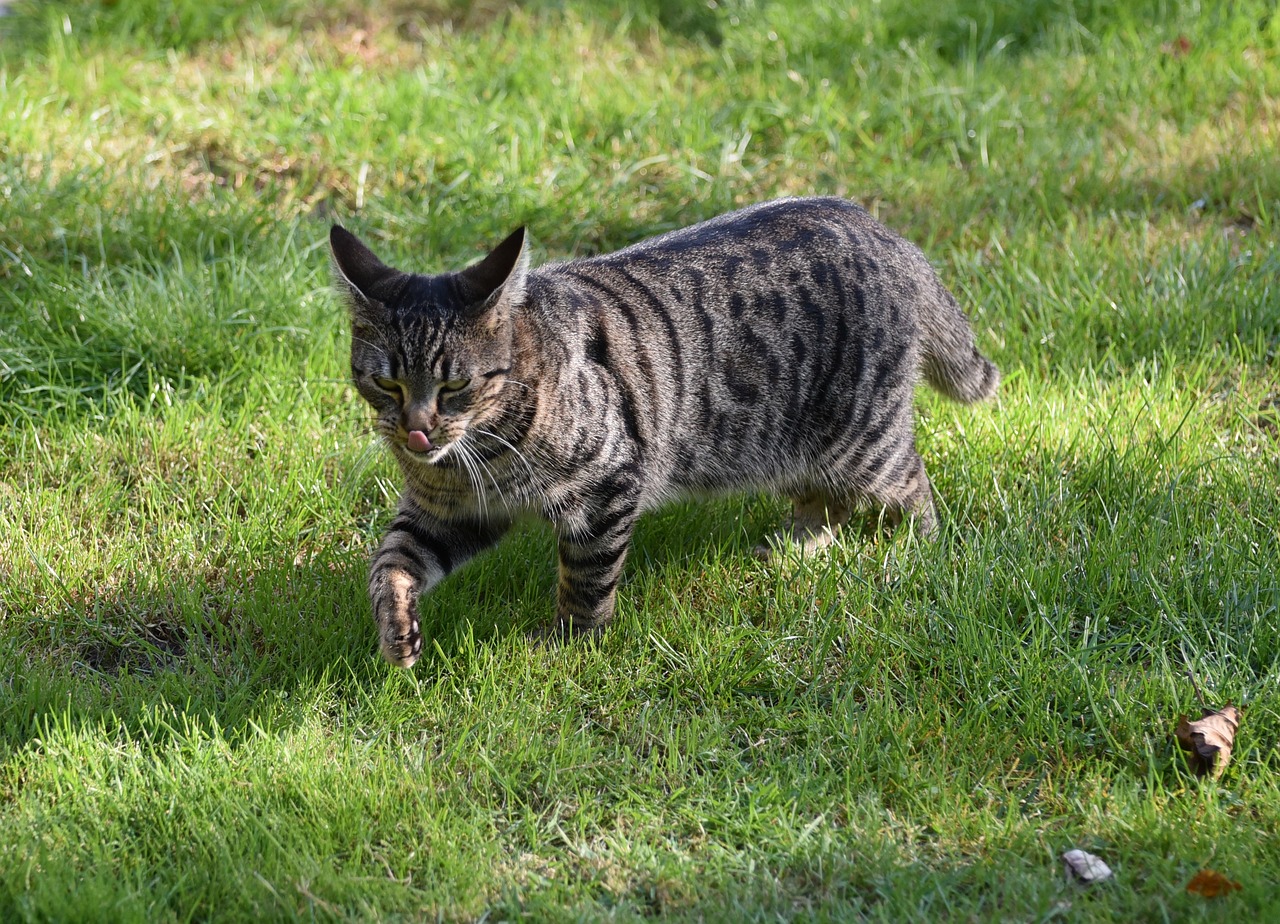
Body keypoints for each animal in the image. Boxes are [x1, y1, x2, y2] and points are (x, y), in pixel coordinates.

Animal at [330, 198, 998, 665]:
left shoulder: (606, 485)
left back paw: (915, 552)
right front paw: (396, 630)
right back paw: (794, 549)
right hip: (795, 449)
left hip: (862, 437)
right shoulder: (448, 511)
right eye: (387, 384)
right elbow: (390, 560)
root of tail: (879, 228)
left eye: (454, 387)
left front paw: (570, 645)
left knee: (913, 487)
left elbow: (588, 580)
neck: (477, 455)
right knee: (825, 501)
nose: (416, 433)